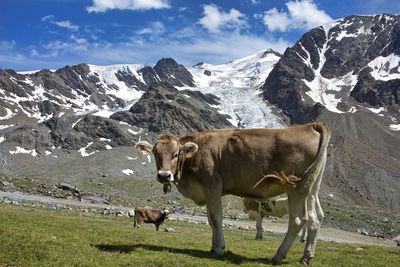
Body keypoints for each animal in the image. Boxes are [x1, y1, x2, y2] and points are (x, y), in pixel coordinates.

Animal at [138, 123, 332, 266]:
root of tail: (311, 125)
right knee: (315, 218)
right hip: (311, 188)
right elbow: (210, 220)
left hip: (296, 189)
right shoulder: (207, 191)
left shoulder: (212, 186)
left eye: (176, 154)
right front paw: (213, 247)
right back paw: (306, 257)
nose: (164, 175)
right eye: (155, 153)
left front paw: (219, 249)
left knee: (299, 220)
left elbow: (216, 218)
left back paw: (278, 256)